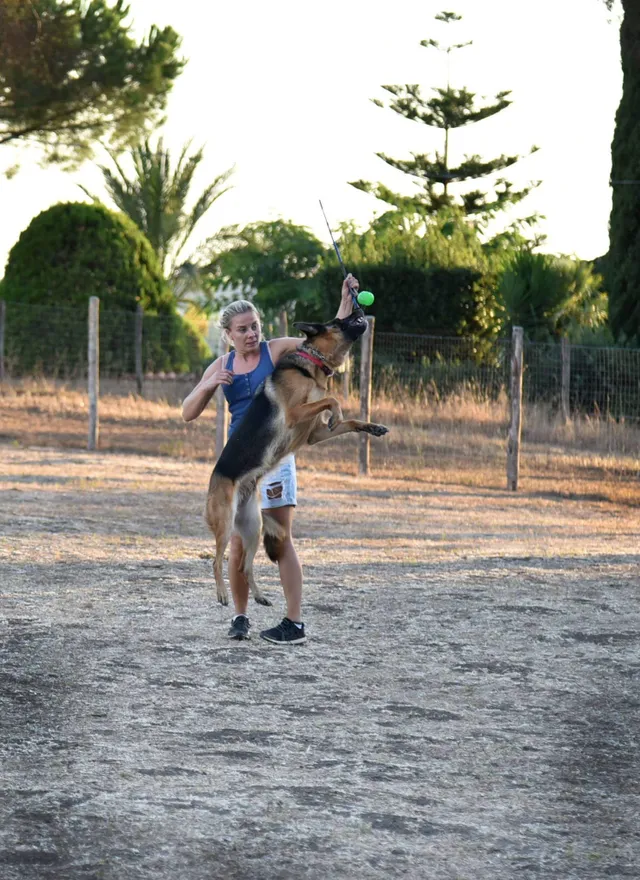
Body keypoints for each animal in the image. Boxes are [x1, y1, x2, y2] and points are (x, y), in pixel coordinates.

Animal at [208, 310, 388, 604]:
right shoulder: (295, 414)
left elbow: (348, 419)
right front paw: (336, 412)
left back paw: (259, 596)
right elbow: (331, 399)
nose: (359, 310)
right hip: (224, 524)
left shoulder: (314, 433)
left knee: (244, 566)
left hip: (253, 527)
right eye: (338, 322)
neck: (313, 364)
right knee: (216, 560)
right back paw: (222, 593)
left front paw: (372, 427)